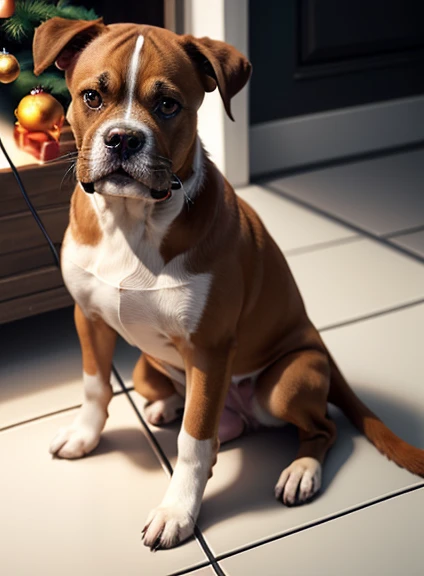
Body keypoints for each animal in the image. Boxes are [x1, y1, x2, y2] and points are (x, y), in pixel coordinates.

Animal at [33, 16, 424, 548]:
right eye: (92, 96)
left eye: (168, 105)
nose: (123, 139)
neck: (133, 221)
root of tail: (322, 346)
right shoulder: (89, 317)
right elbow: (96, 386)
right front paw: (84, 435)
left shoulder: (211, 348)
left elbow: (195, 441)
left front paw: (177, 512)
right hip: (148, 369)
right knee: (218, 422)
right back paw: (168, 406)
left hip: (286, 381)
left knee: (318, 427)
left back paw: (301, 472)